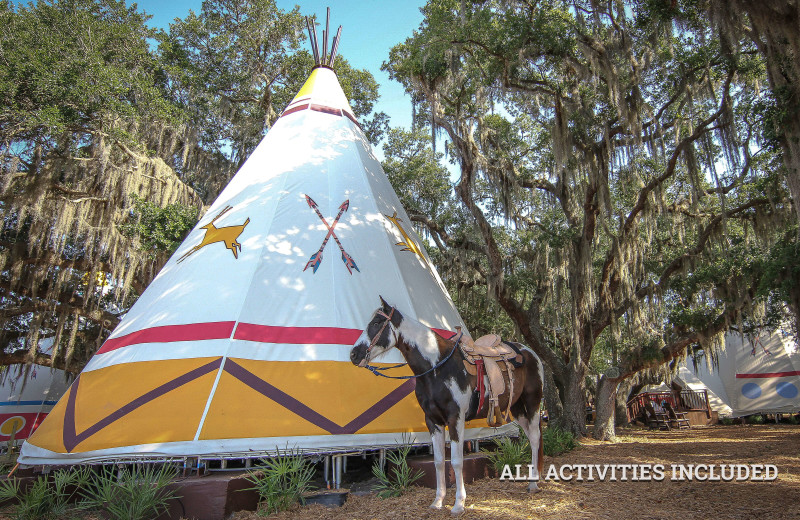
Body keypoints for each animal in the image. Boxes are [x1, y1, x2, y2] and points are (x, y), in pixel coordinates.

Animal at [350, 298, 544, 512]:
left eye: (377, 322)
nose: (354, 354)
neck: (437, 367)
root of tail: (531, 353)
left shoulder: (455, 419)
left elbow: (457, 462)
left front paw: (459, 504)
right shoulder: (433, 421)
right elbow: (439, 462)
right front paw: (438, 501)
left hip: (533, 403)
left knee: (535, 438)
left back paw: (533, 484)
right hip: (517, 408)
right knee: (531, 437)